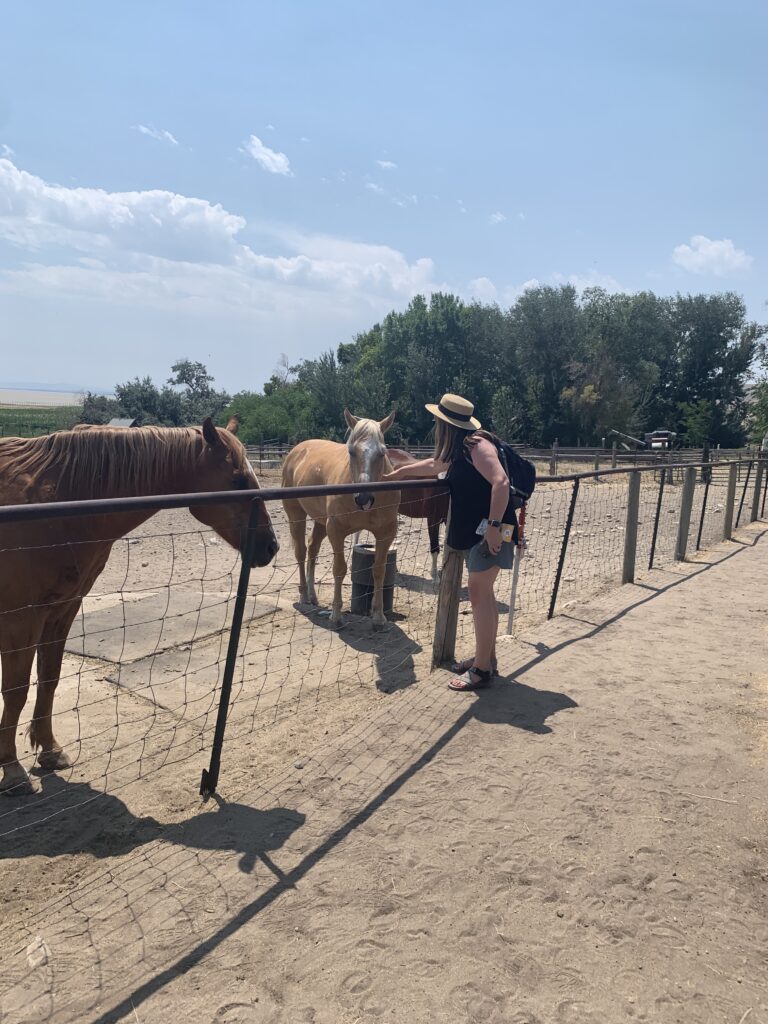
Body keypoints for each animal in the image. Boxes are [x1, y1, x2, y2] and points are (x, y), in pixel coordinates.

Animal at [0, 415, 280, 790]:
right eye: (237, 479)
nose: (271, 546)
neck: (54, 500)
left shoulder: (61, 610)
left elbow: (49, 679)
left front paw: (50, 750)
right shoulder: (22, 618)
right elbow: (16, 691)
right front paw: (12, 768)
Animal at [282, 407, 403, 630]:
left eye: (382, 452)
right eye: (351, 451)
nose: (363, 498)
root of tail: (297, 450)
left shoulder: (386, 533)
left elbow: (379, 570)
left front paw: (378, 617)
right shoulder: (336, 531)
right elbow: (339, 569)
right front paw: (336, 615)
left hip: (320, 522)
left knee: (312, 549)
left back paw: (312, 595)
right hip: (296, 515)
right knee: (301, 552)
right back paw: (304, 595)